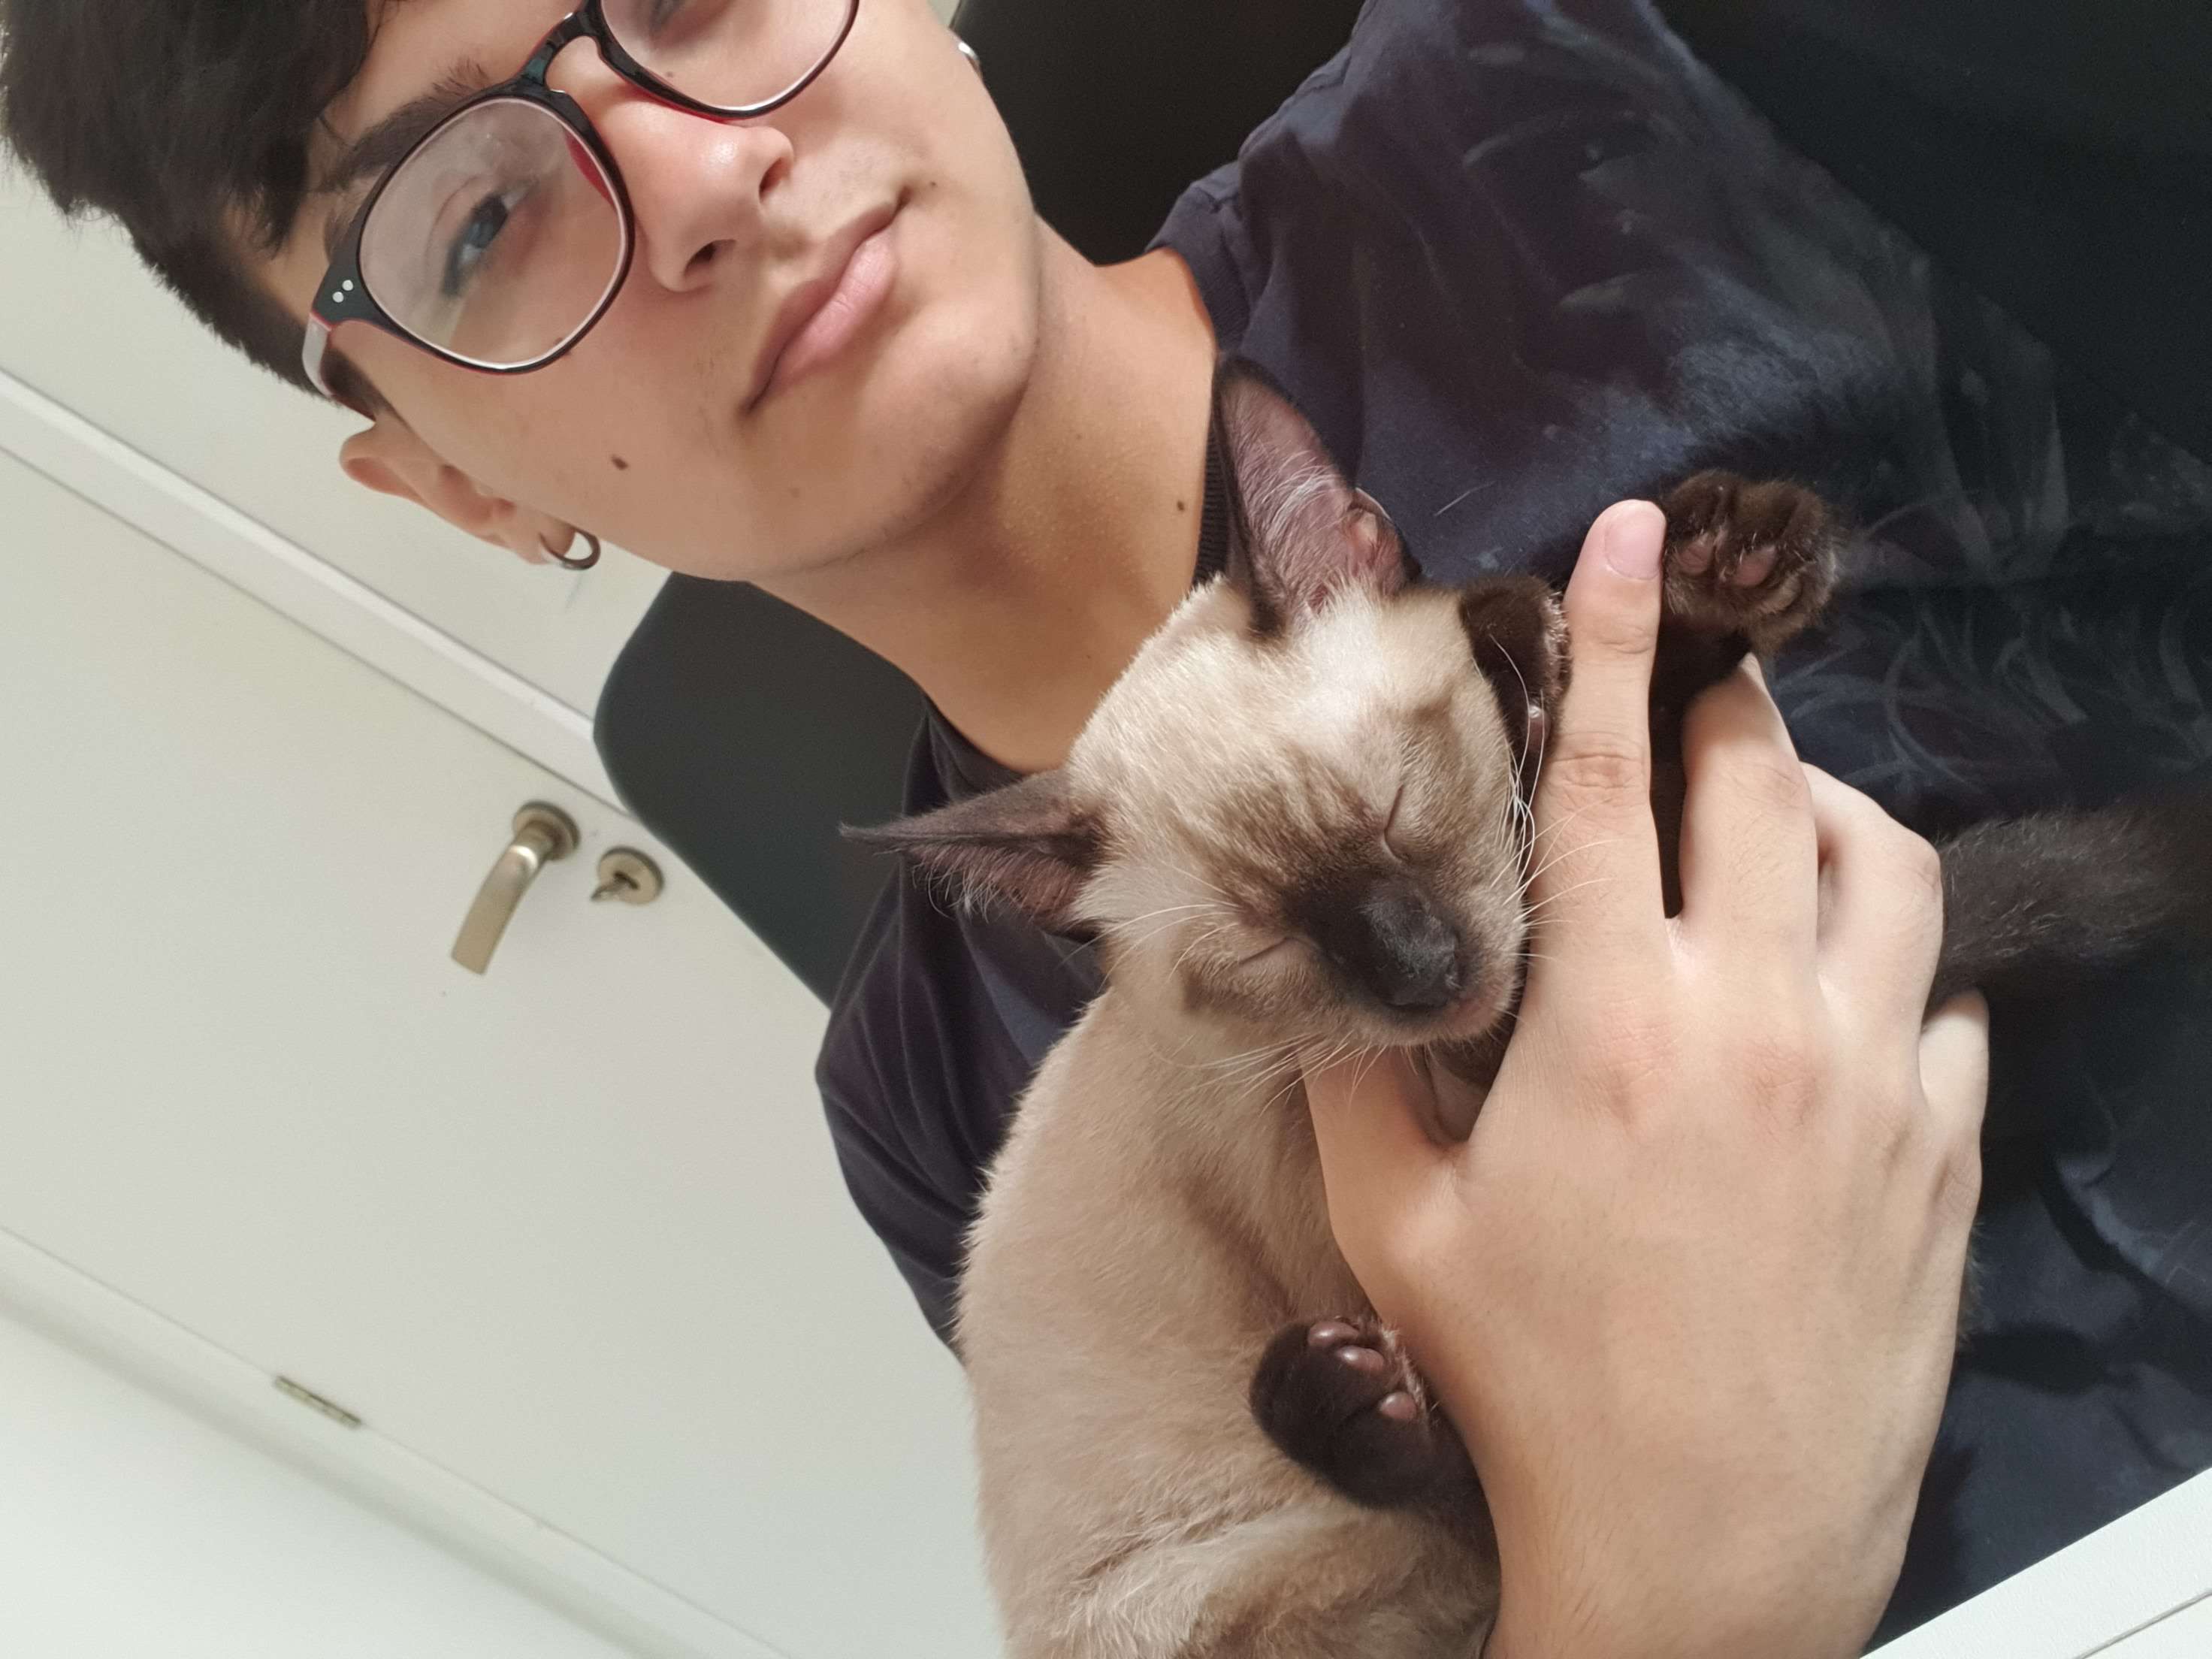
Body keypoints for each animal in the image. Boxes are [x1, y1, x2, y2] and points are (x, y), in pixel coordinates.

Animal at [851, 360, 2212, 1659]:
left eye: (1397, 804)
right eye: (1272, 943)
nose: (1419, 973)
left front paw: (1705, 568)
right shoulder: (1492, 1043)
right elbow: (1628, 745)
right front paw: (1606, 638)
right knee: (1466, 1504)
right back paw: (1342, 1402)